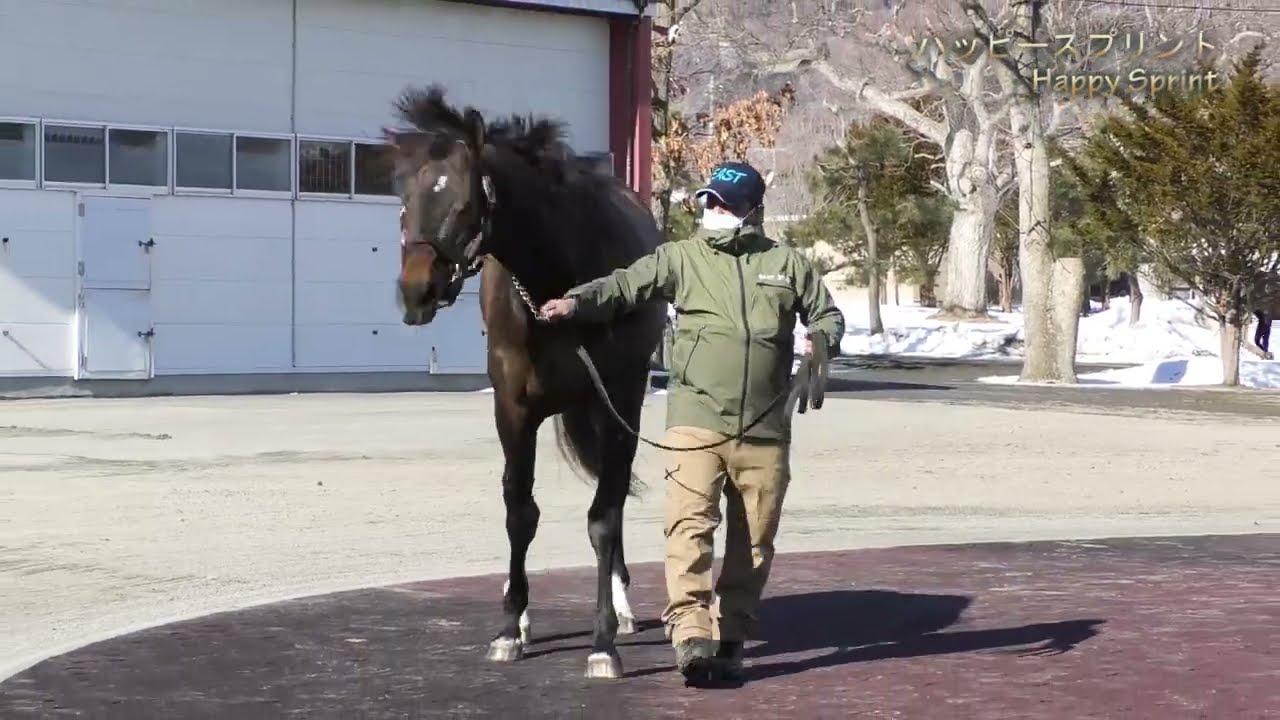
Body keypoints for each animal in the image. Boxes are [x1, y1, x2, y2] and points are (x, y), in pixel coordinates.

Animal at [385, 85, 668, 680]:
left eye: (463, 204)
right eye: (404, 199)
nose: (415, 292)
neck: (557, 278)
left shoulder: (617, 403)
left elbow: (604, 517)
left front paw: (603, 640)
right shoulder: (513, 410)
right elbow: (520, 512)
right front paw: (509, 626)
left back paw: (622, 606)